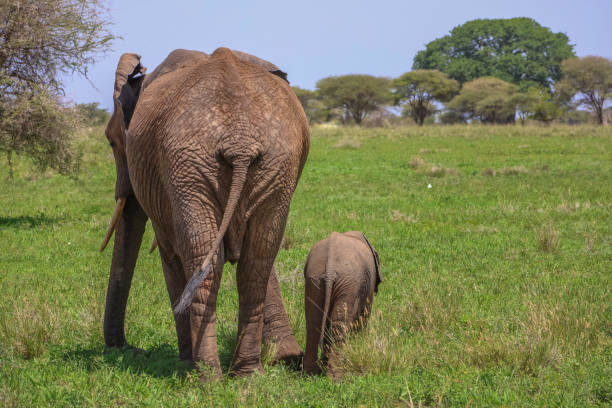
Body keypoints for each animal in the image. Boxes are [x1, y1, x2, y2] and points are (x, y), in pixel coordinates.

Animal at [101, 48, 310, 380]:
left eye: (111, 141)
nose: (129, 348)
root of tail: (240, 139)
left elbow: (170, 256)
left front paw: (185, 362)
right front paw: (286, 357)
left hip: (189, 166)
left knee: (204, 261)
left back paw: (203, 376)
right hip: (274, 163)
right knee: (256, 263)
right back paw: (247, 374)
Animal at [302, 231, 380, 374]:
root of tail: (330, 268)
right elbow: (364, 316)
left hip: (313, 278)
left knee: (313, 322)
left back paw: (310, 372)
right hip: (348, 282)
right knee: (339, 324)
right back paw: (336, 374)